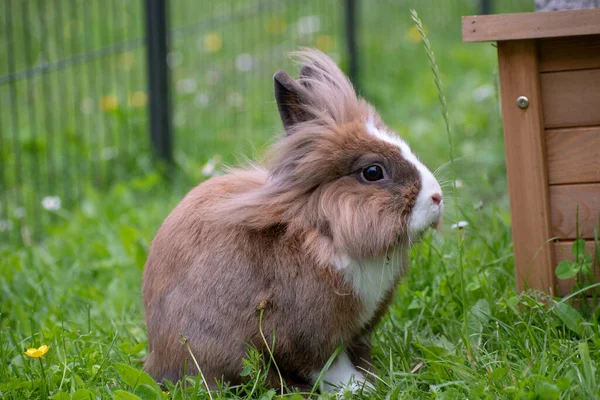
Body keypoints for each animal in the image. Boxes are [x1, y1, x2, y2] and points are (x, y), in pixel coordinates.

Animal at [142, 48, 440, 392]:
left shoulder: (359, 330)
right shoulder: (309, 334)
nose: (437, 198)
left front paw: (371, 379)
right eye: (373, 172)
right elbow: (329, 365)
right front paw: (357, 388)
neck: (326, 233)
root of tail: (156, 359)